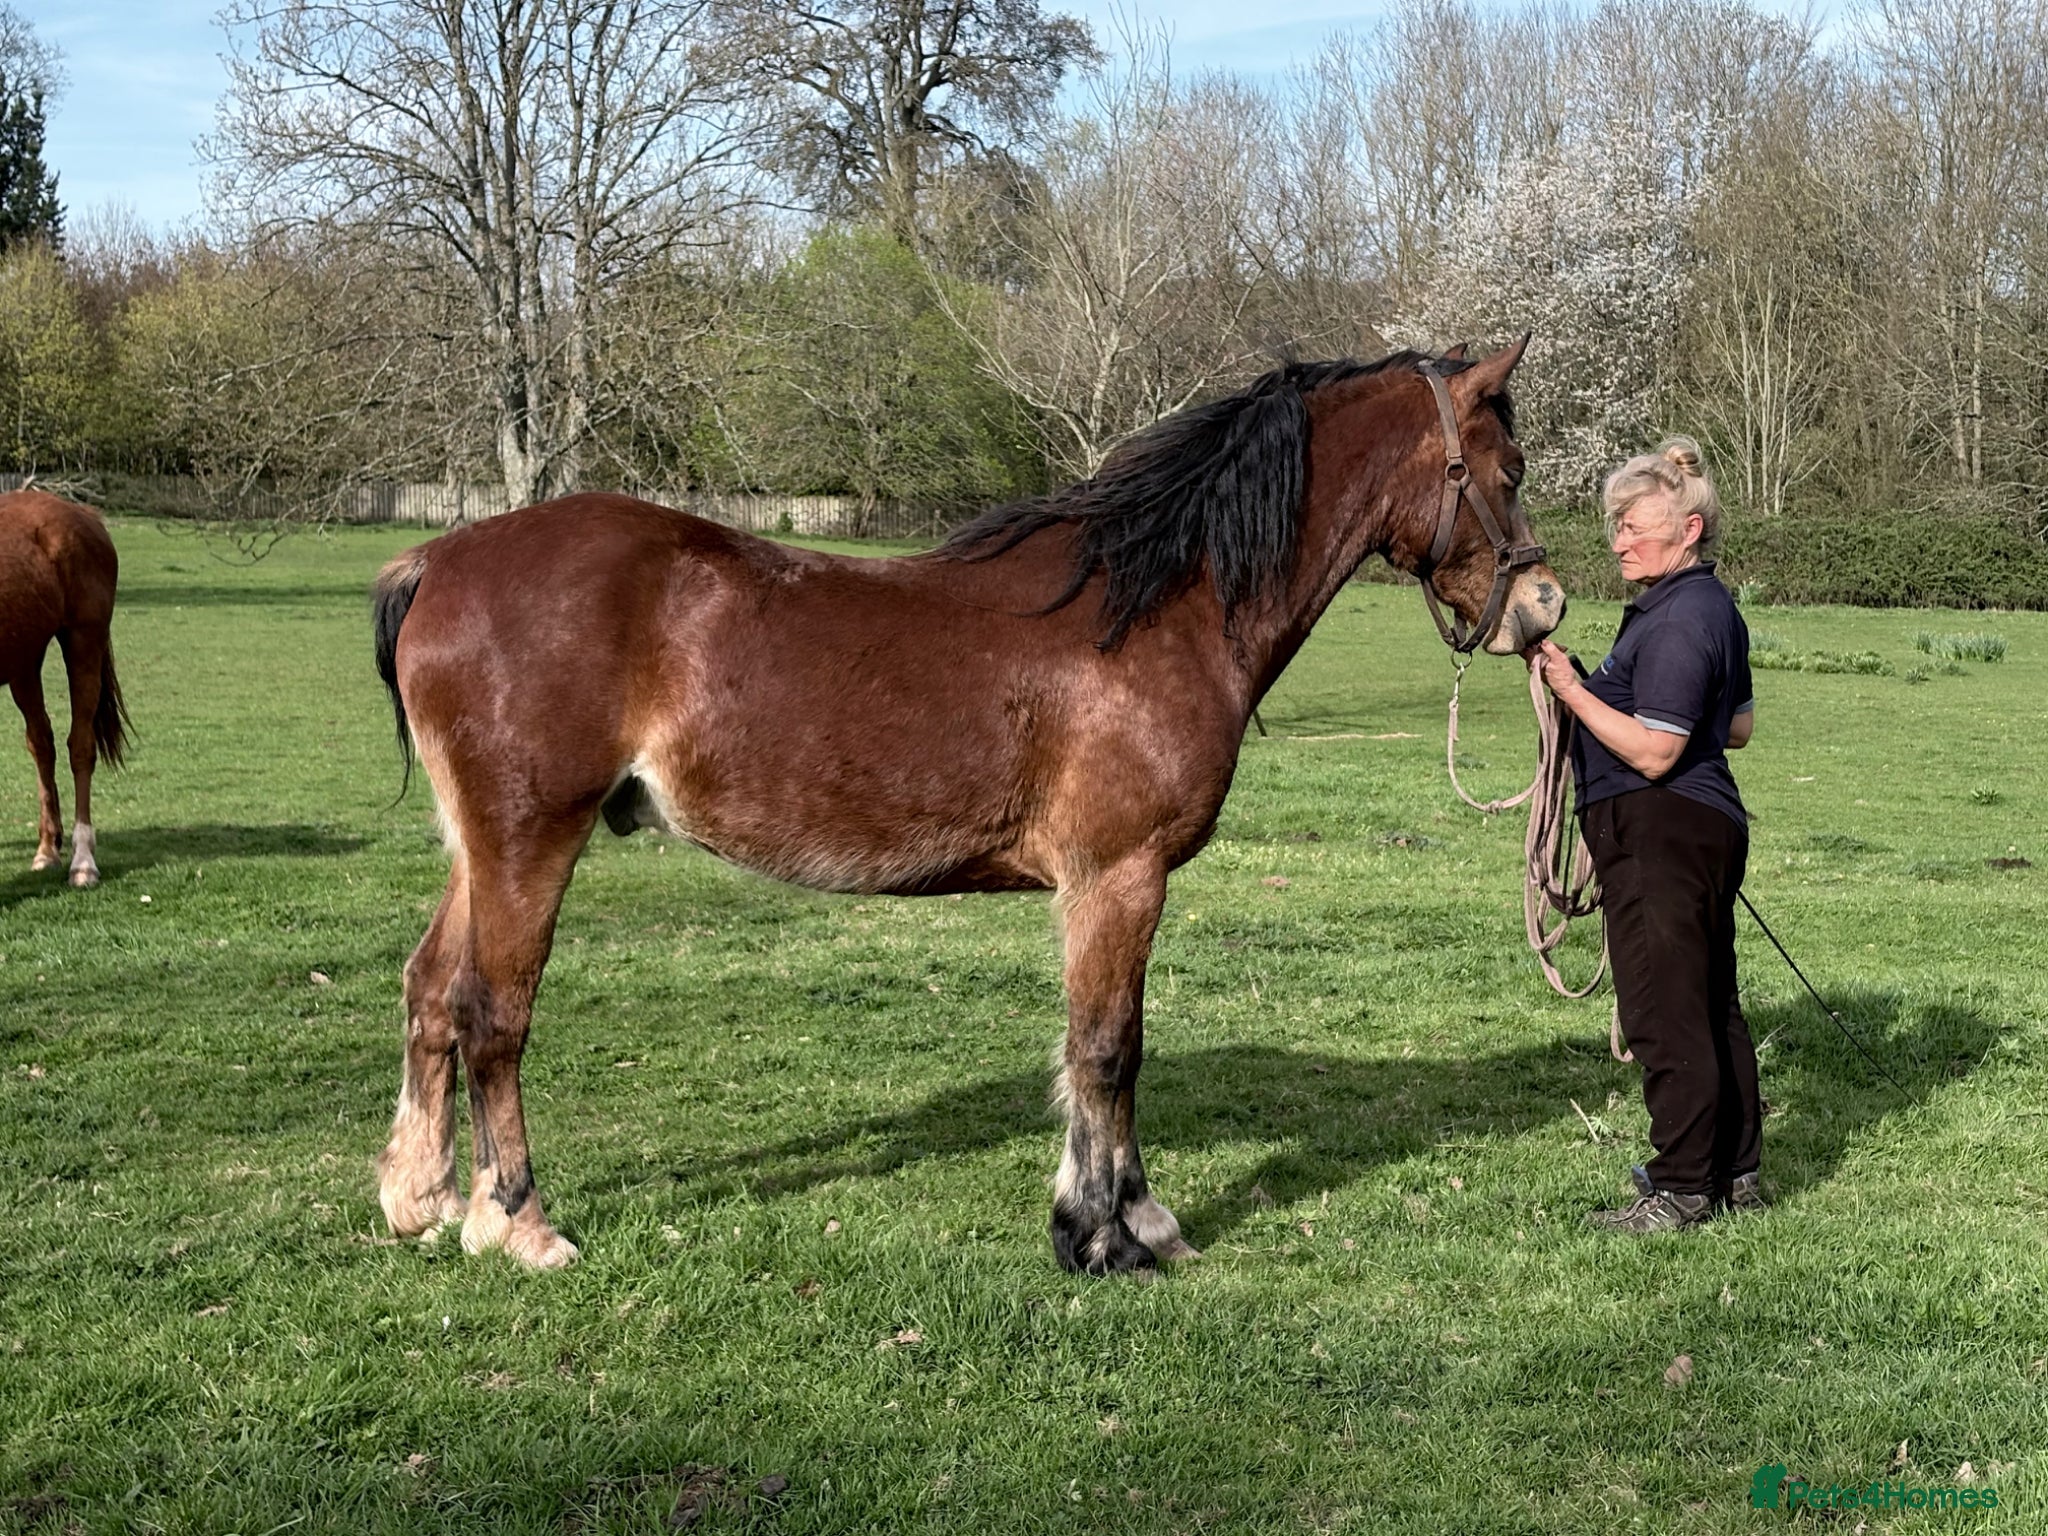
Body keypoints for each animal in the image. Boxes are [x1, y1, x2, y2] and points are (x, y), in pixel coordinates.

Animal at [1, 490, 131, 888]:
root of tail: (82, 513)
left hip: (83, 644)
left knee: (81, 748)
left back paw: (82, 861)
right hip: (24, 661)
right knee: (42, 744)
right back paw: (47, 849)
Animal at [369, 342, 1565, 1273]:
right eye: (1506, 468)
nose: (1544, 604)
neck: (1156, 606)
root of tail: (436, 558)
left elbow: (1112, 1048)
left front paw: (1139, 1220)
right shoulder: (1116, 878)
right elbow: (1107, 1050)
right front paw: (1101, 1237)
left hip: (479, 849)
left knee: (430, 991)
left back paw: (419, 1200)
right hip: (531, 839)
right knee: (493, 1013)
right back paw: (519, 1224)